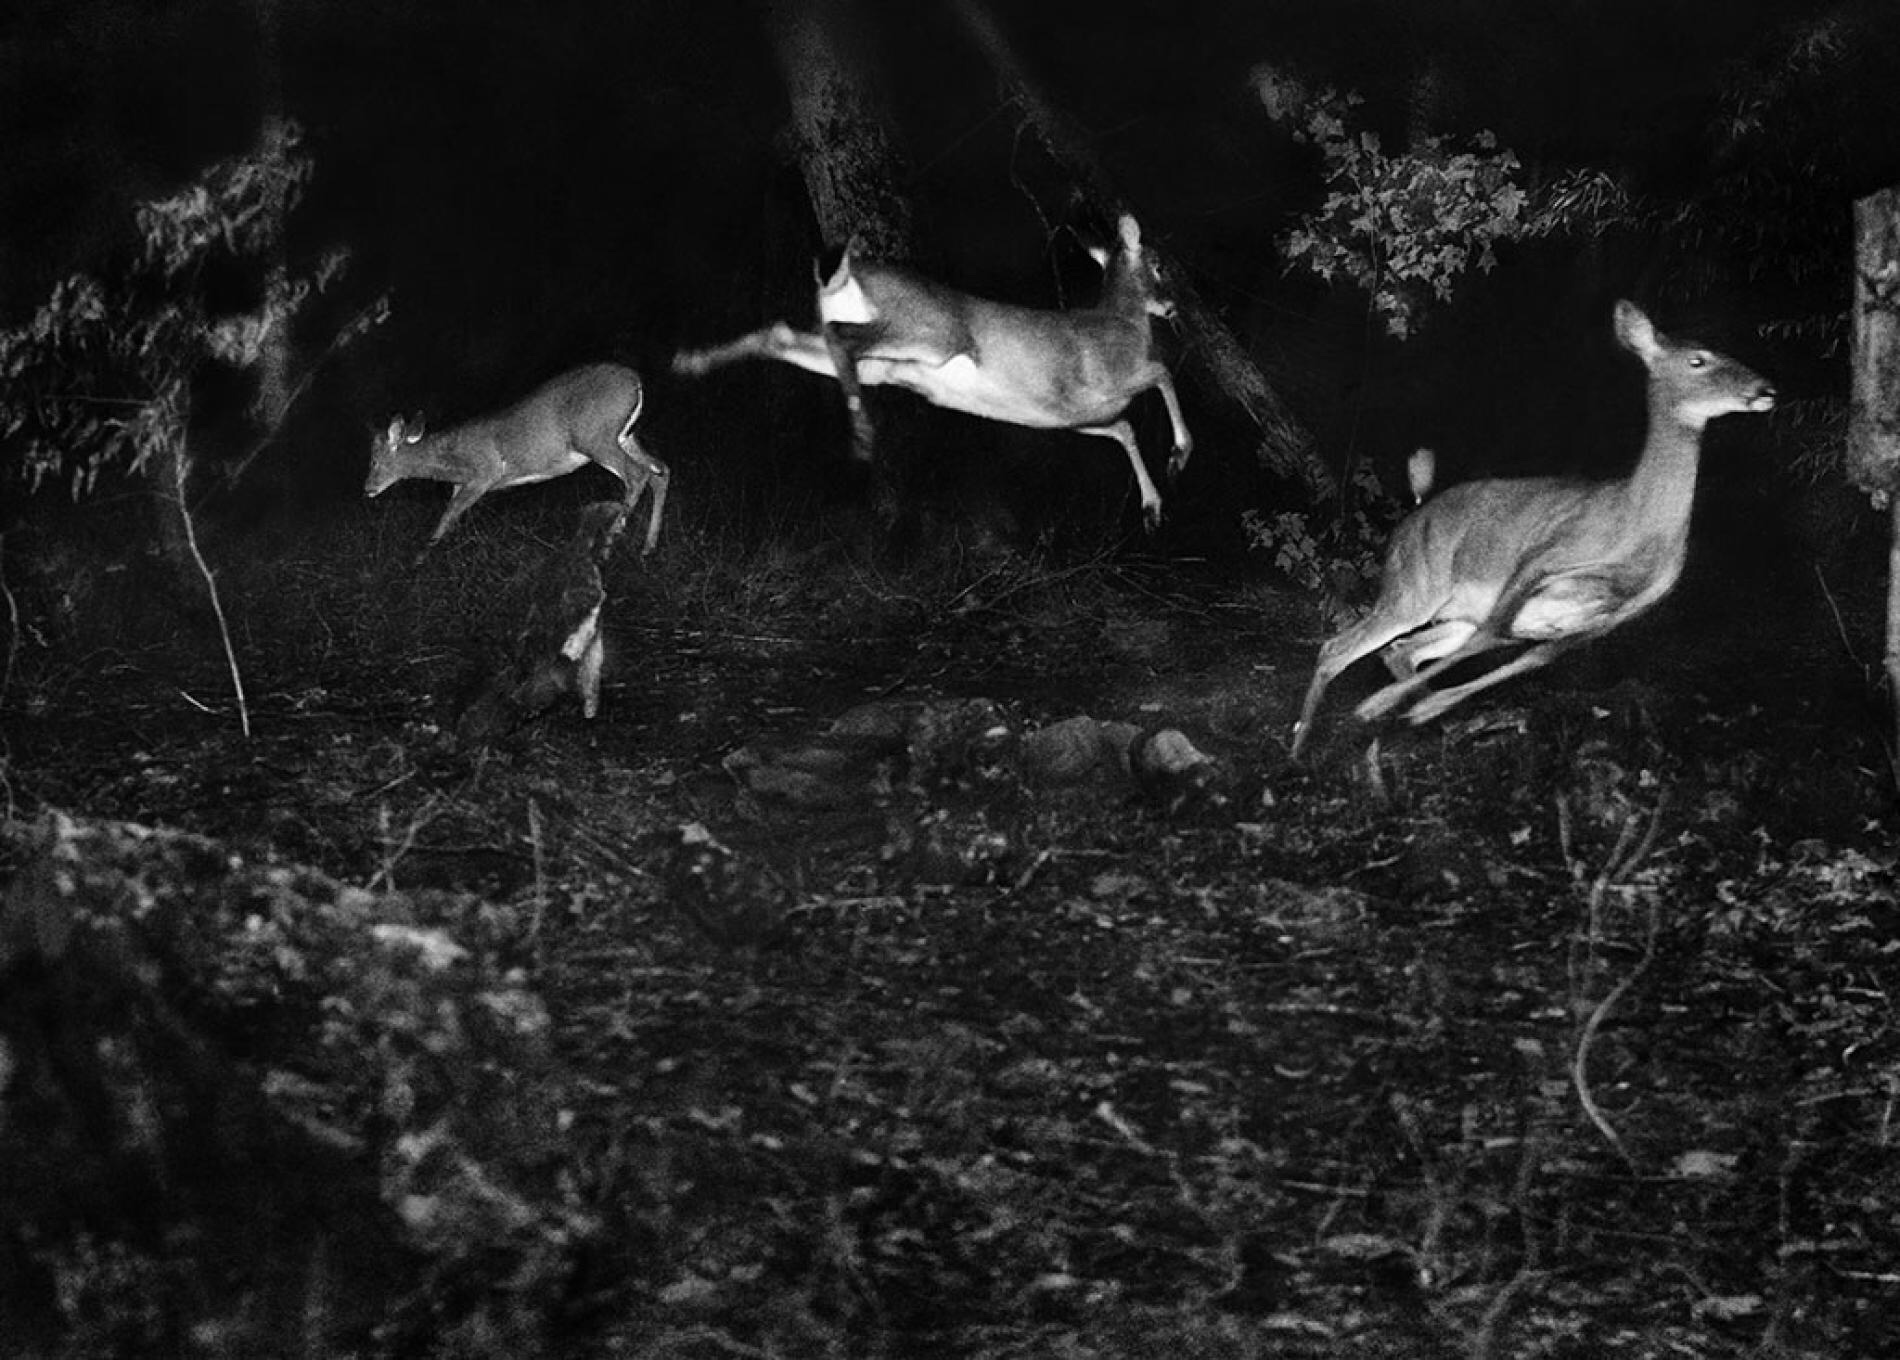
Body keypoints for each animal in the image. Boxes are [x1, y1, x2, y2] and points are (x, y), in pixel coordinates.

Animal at [366, 364, 672, 554]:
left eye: (374, 461)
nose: (367, 489)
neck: (450, 461)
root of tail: (636, 381)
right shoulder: (462, 484)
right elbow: (450, 517)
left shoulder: (485, 472)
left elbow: (447, 516)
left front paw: (421, 559)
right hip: (625, 436)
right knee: (660, 471)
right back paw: (648, 547)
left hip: (595, 437)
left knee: (637, 475)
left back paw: (613, 537)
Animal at [676, 215, 1193, 528]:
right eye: (1159, 264)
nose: (1172, 307)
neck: (1124, 324)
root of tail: (848, 273)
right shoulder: (1101, 382)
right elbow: (1163, 373)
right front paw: (1180, 454)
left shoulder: (1071, 415)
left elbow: (1125, 428)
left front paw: (1153, 507)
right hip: (932, 332)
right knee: (841, 334)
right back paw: (861, 431)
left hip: (887, 363)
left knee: (785, 334)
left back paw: (690, 361)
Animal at [1292, 302, 1778, 759]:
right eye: (1698, 360)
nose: (1766, 390)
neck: (1637, 526)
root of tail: (1412, 517)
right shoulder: (1541, 557)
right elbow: (1495, 634)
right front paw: (1379, 705)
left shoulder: (1611, 617)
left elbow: (1529, 658)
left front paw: (1426, 708)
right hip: (1414, 586)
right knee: (1338, 647)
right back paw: (1300, 747)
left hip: (1451, 611)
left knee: (1401, 650)